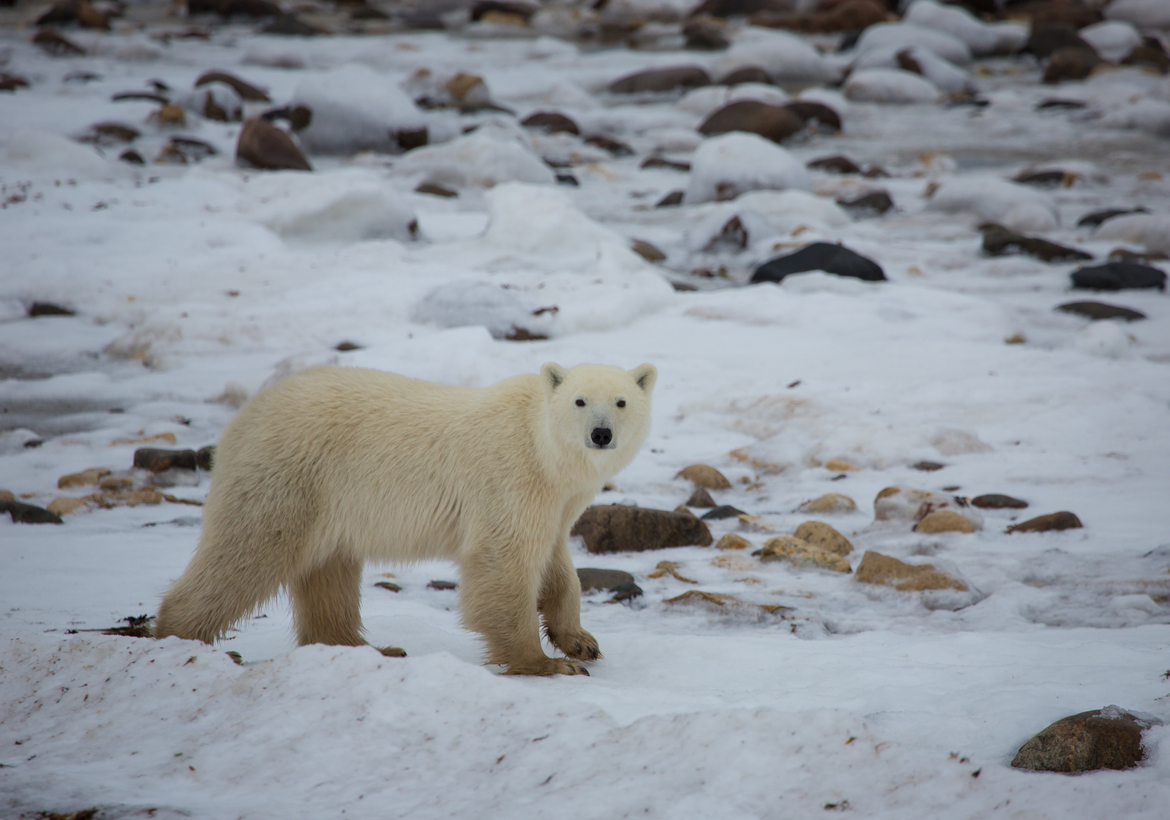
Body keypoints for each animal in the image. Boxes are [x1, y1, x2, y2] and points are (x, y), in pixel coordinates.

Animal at [154, 361, 657, 676]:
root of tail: (241, 420)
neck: (543, 449)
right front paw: (546, 663)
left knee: (328, 570)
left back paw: (372, 647)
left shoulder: (556, 502)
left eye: (620, 401)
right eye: (579, 401)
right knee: (248, 552)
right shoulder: (510, 477)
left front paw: (580, 641)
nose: (600, 434)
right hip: (287, 478)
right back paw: (182, 636)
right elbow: (502, 561)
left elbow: (555, 563)